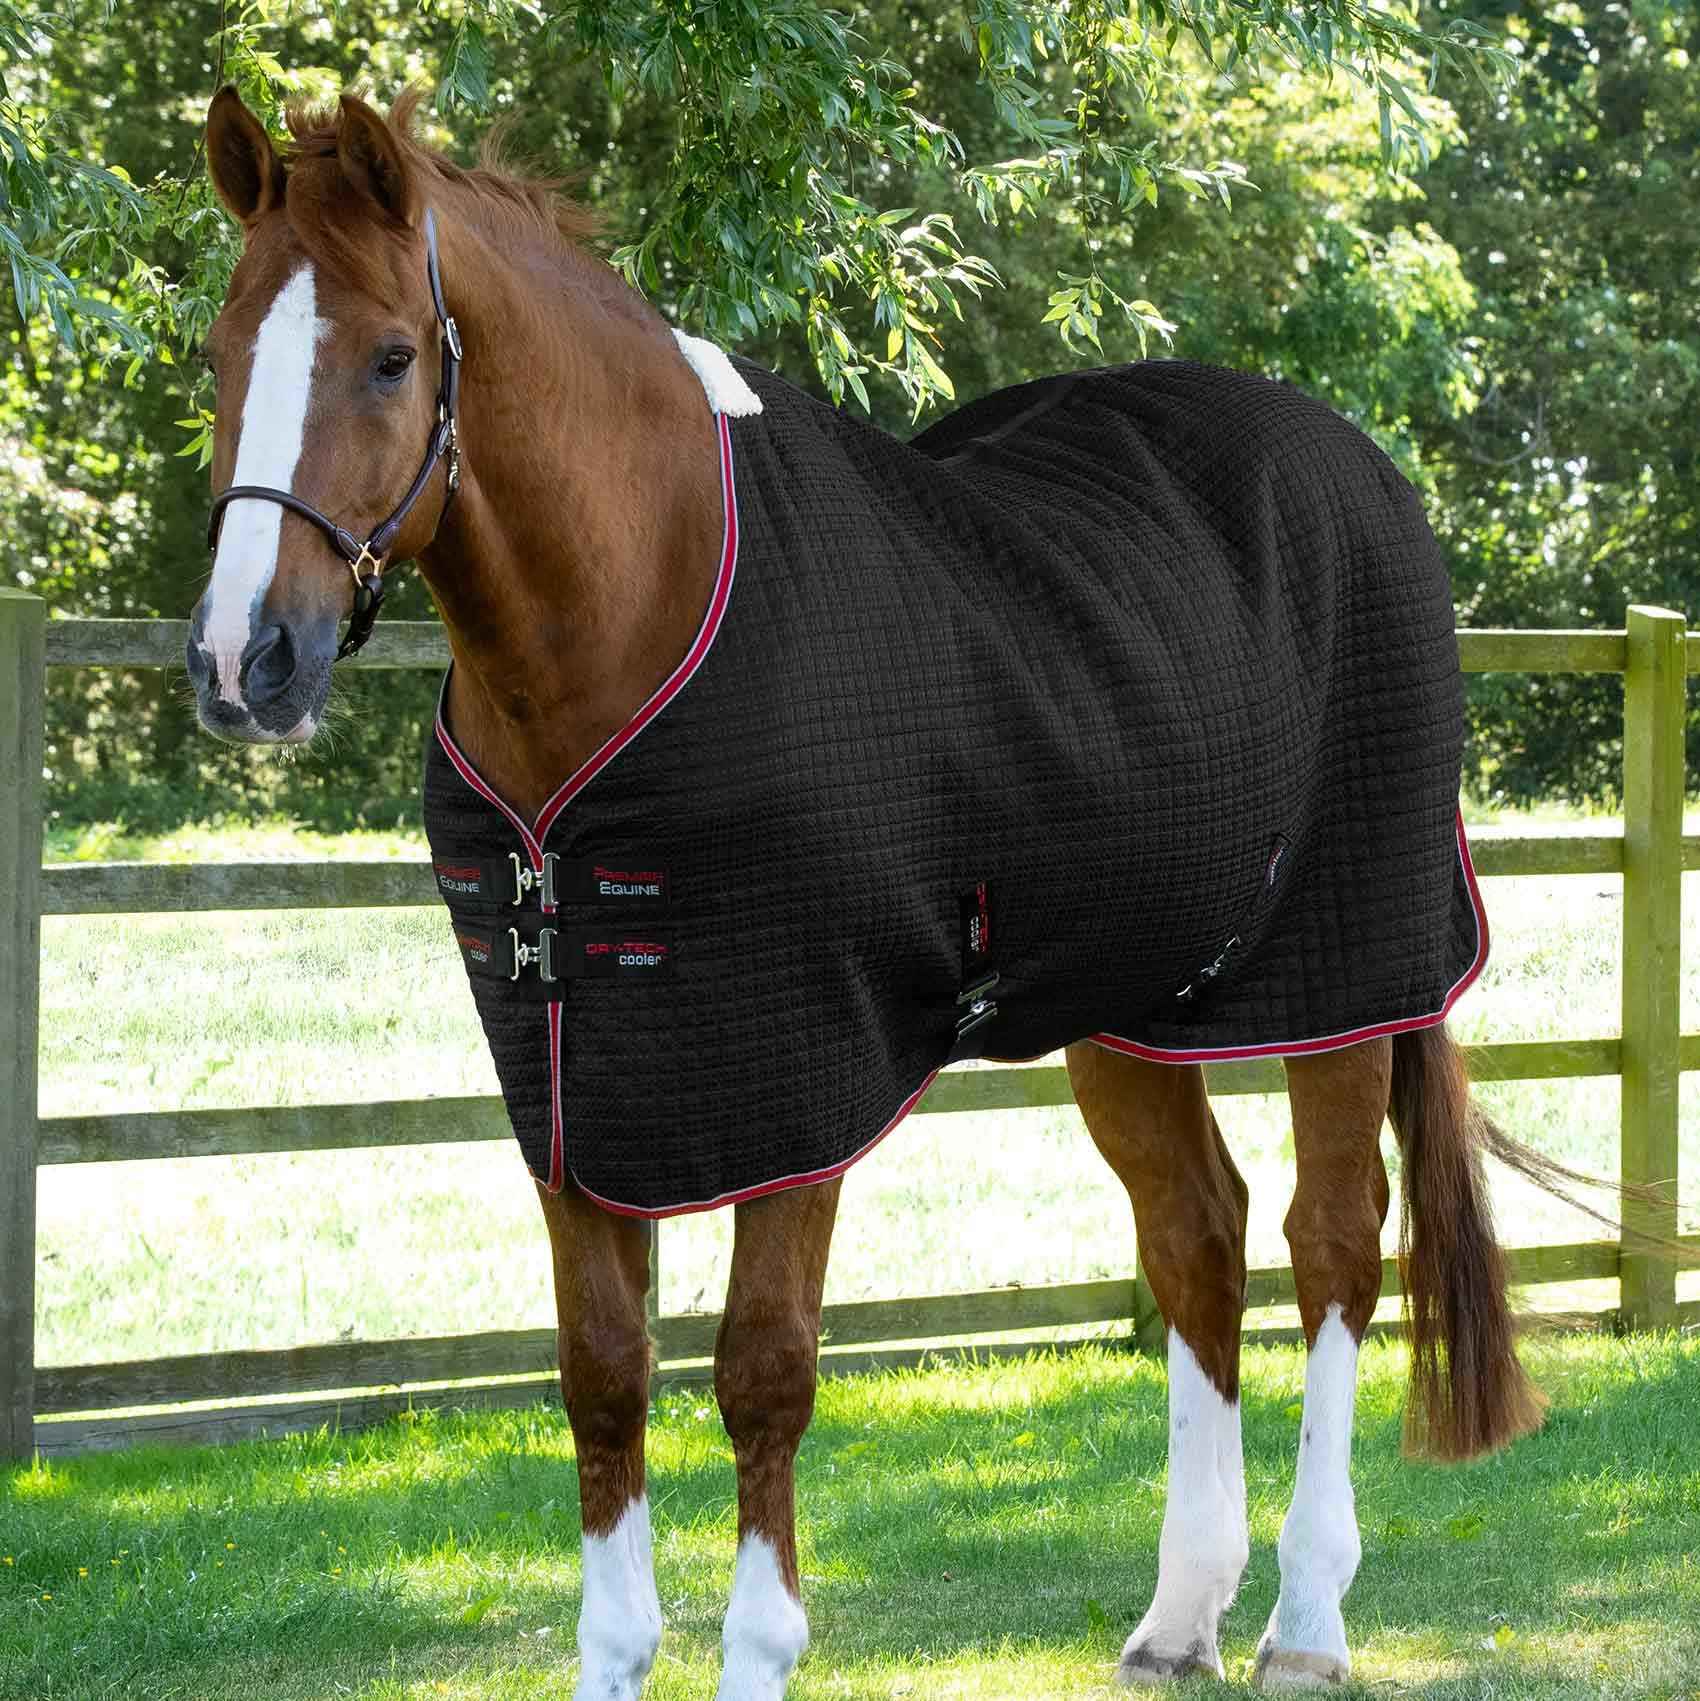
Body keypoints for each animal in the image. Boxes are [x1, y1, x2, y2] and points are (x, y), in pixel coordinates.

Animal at [185, 87, 1548, 1697]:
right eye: (221, 350)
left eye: (394, 356)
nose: (243, 662)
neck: (644, 610)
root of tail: (1362, 469)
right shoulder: (575, 1093)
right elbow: (602, 1377)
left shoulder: (799, 1082)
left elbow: (762, 1371)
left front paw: (763, 1646)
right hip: (1131, 1004)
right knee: (1196, 1238)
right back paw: (1179, 1615)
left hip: (1340, 978)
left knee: (1332, 1239)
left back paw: (1306, 1619)